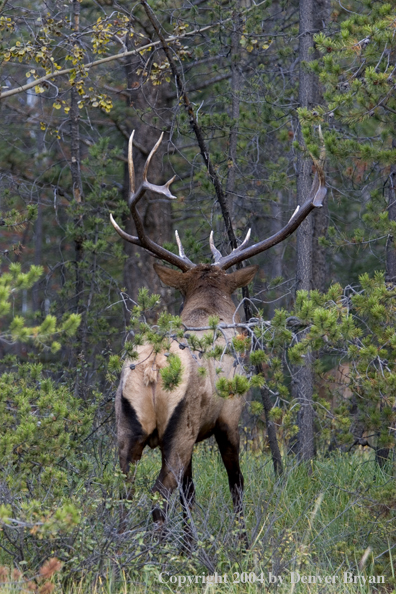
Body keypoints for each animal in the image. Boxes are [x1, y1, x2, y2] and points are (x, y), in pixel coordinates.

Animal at [110, 130, 326, 544]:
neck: (210, 311)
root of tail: (151, 369)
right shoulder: (229, 418)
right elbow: (236, 485)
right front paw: (242, 546)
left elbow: (191, 495)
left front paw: (191, 547)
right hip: (179, 431)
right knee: (158, 497)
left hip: (126, 431)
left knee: (123, 497)